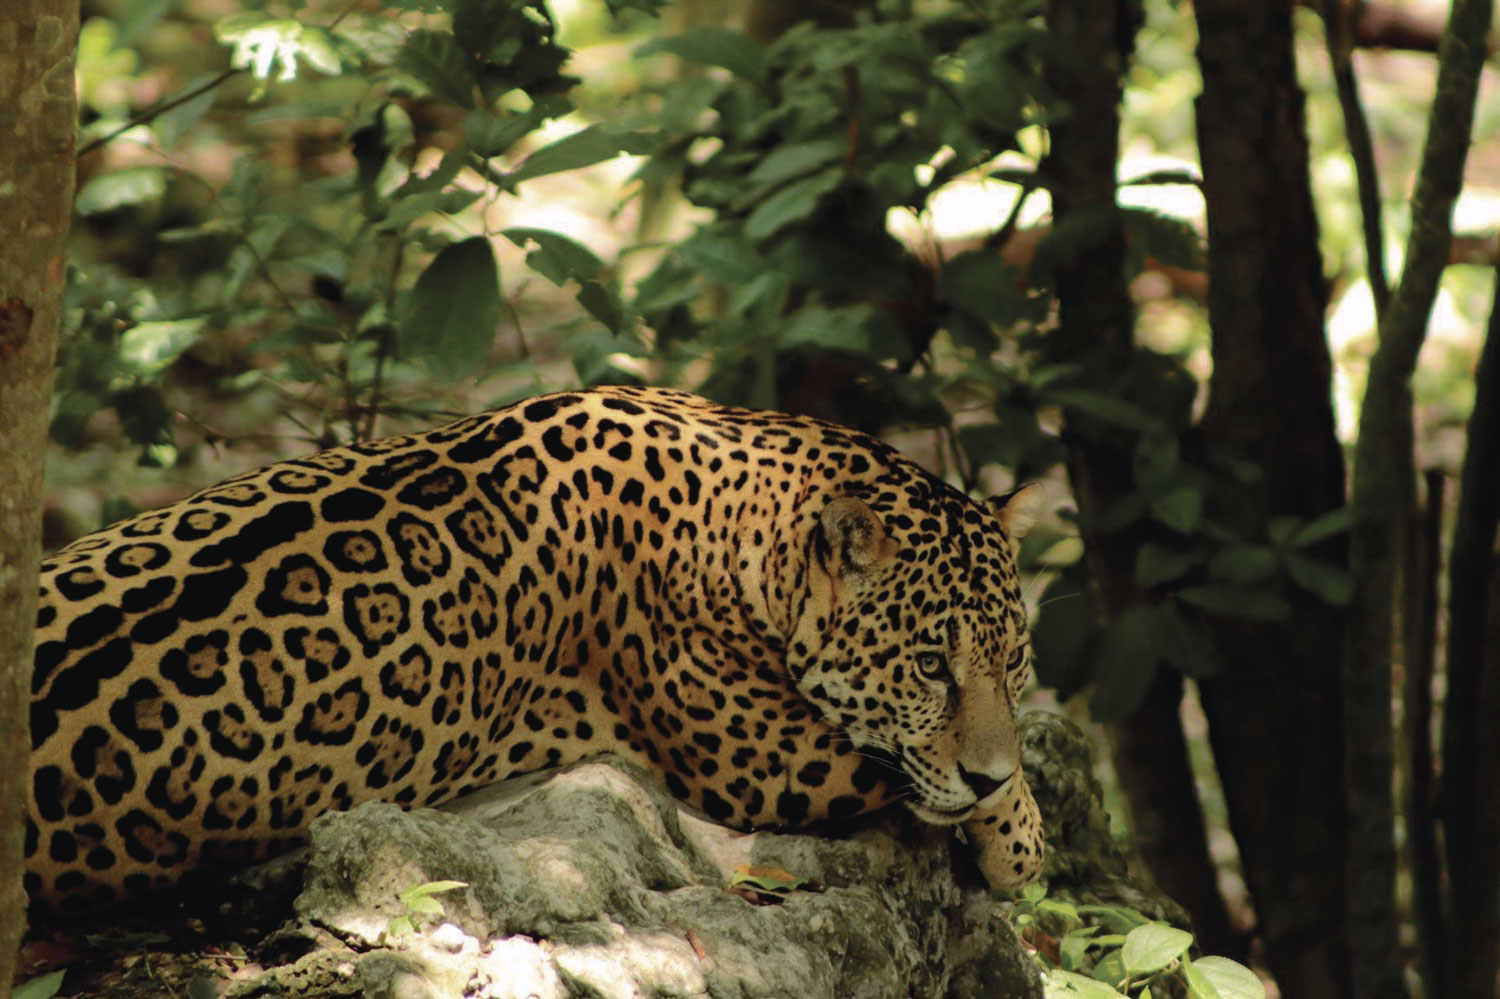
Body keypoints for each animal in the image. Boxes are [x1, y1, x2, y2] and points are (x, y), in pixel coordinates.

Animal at [26, 385, 1045, 913]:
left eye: (1014, 662)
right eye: (929, 666)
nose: (987, 772)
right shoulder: (761, 757)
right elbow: (918, 773)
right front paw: (1021, 837)